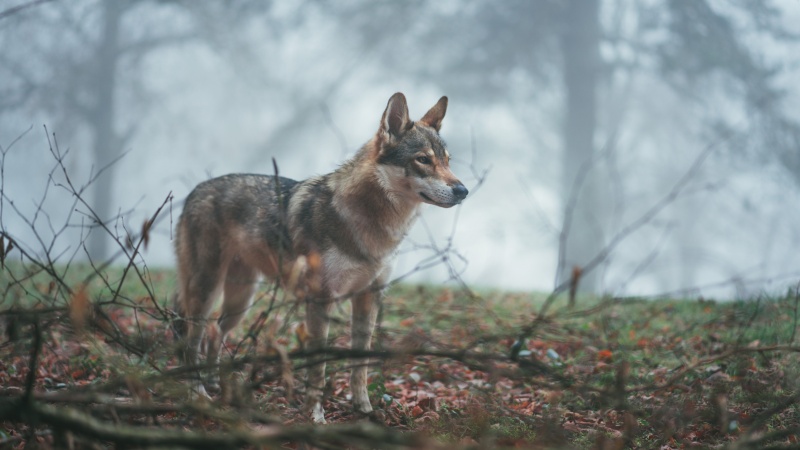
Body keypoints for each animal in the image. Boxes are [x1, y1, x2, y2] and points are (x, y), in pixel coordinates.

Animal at [172, 93, 466, 424]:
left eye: (447, 161)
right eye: (423, 159)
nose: (463, 190)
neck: (370, 225)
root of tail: (194, 191)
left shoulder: (369, 298)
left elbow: (360, 365)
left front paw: (364, 410)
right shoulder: (320, 301)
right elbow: (319, 368)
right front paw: (315, 416)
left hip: (240, 300)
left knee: (214, 332)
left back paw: (213, 383)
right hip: (207, 291)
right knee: (191, 340)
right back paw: (198, 394)